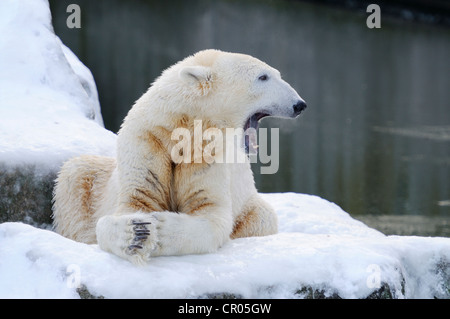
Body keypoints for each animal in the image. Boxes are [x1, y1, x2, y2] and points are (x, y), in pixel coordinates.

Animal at [51, 49, 306, 264]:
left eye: (275, 74)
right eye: (263, 77)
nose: (299, 104)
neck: (179, 129)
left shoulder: (205, 153)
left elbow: (210, 211)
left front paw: (160, 228)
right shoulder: (147, 141)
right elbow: (135, 200)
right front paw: (136, 232)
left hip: (249, 203)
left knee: (264, 217)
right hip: (91, 182)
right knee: (75, 173)